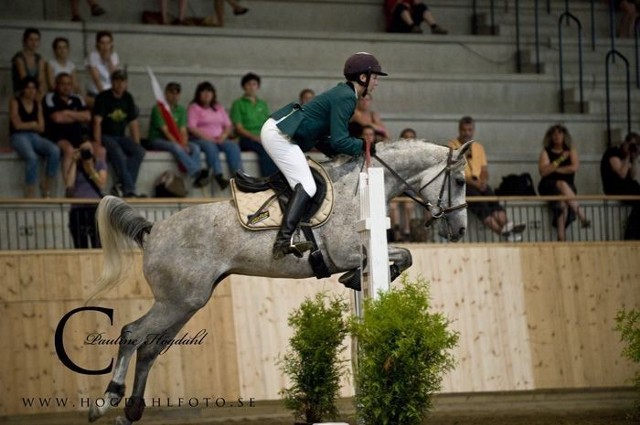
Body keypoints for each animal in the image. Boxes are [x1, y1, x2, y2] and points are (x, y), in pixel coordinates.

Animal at [89, 138, 470, 420]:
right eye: (462, 181)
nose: (460, 230)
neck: (359, 189)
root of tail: (152, 230)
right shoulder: (346, 251)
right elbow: (402, 254)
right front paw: (355, 277)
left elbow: (404, 256)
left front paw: (353, 280)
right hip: (176, 302)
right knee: (132, 334)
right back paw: (106, 402)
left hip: (186, 302)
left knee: (150, 347)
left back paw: (132, 410)